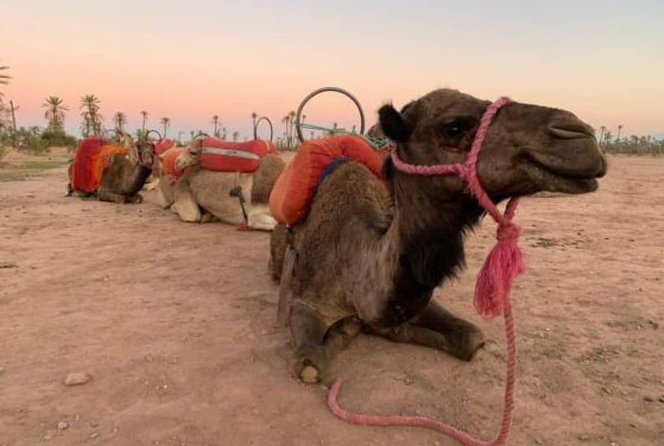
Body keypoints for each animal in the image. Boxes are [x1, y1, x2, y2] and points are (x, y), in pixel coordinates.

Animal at [156, 139, 286, 230]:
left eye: (192, 152)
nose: (177, 162)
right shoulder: (255, 214)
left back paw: (209, 216)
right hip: (183, 188)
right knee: (189, 214)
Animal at [270, 88, 608, 384]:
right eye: (454, 128)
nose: (580, 134)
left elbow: (472, 338)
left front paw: (375, 330)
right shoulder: (306, 302)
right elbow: (310, 364)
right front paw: (347, 331)